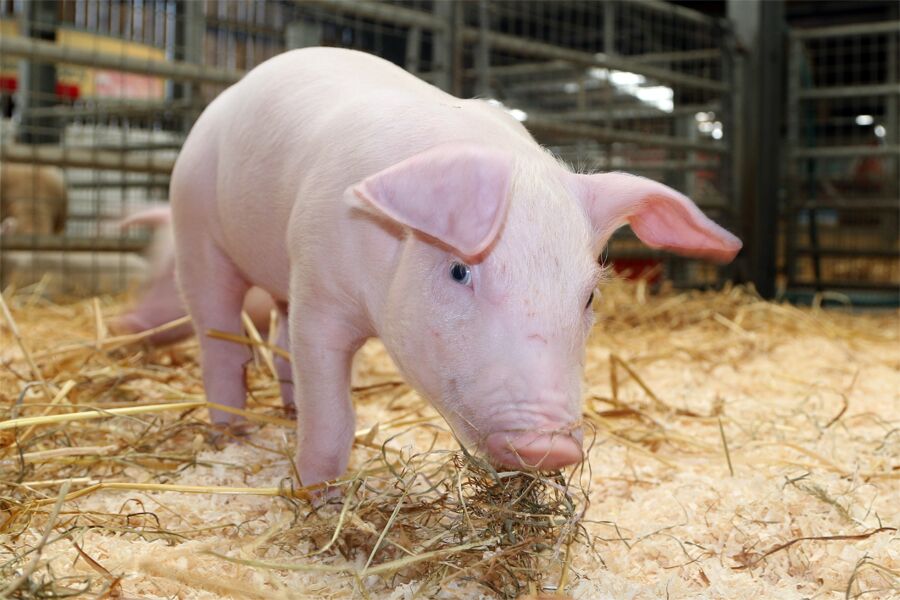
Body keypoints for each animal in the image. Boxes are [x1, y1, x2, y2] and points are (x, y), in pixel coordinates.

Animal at [170, 47, 741, 487]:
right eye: (459, 272)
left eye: (588, 297)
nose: (551, 446)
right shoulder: (319, 289)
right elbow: (332, 418)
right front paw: (320, 499)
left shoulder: (305, 282)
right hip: (195, 227)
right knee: (219, 339)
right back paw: (231, 433)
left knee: (278, 340)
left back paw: (288, 413)